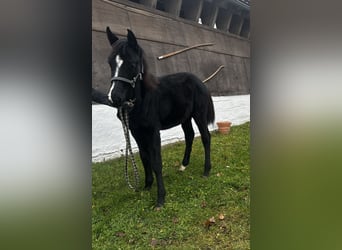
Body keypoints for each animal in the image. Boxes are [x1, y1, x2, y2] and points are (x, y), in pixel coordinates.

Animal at [97, 27, 214, 207]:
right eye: (110, 63)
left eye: (132, 63)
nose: (114, 98)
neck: (142, 101)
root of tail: (200, 81)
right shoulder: (136, 132)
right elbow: (145, 157)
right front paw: (147, 186)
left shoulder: (153, 131)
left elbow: (156, 161)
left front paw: (160, 198)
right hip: (185, 118)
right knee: (189, 135)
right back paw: (183, 165)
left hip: (199, 115)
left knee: (206, 137)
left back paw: (206, 170)